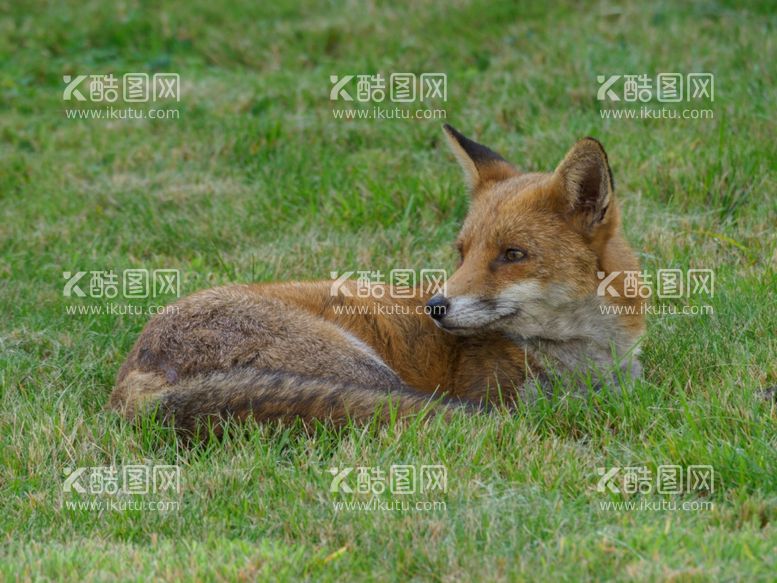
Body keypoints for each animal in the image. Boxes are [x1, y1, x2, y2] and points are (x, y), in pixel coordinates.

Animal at [107, 125, 644, 436]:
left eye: (513, 255)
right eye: (462, 252)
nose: (436, 307)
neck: (588, 363)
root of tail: (133, 375)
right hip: (367, 370)